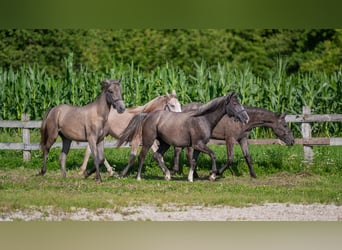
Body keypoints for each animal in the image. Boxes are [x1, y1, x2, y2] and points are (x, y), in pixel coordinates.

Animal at [117, 92, 248, 182]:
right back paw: (139, 177)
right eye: (235, 103)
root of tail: (147, 115)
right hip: (149, 141)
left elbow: (193, 161)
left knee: (157, 155)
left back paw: (167, 175)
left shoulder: (197, 147)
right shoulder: (198, 145)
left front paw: (190, 178)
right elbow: (212, 155)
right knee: (141, 156)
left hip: (165, 143)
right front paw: (212, 175)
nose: (246, 118)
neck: (202, 119)